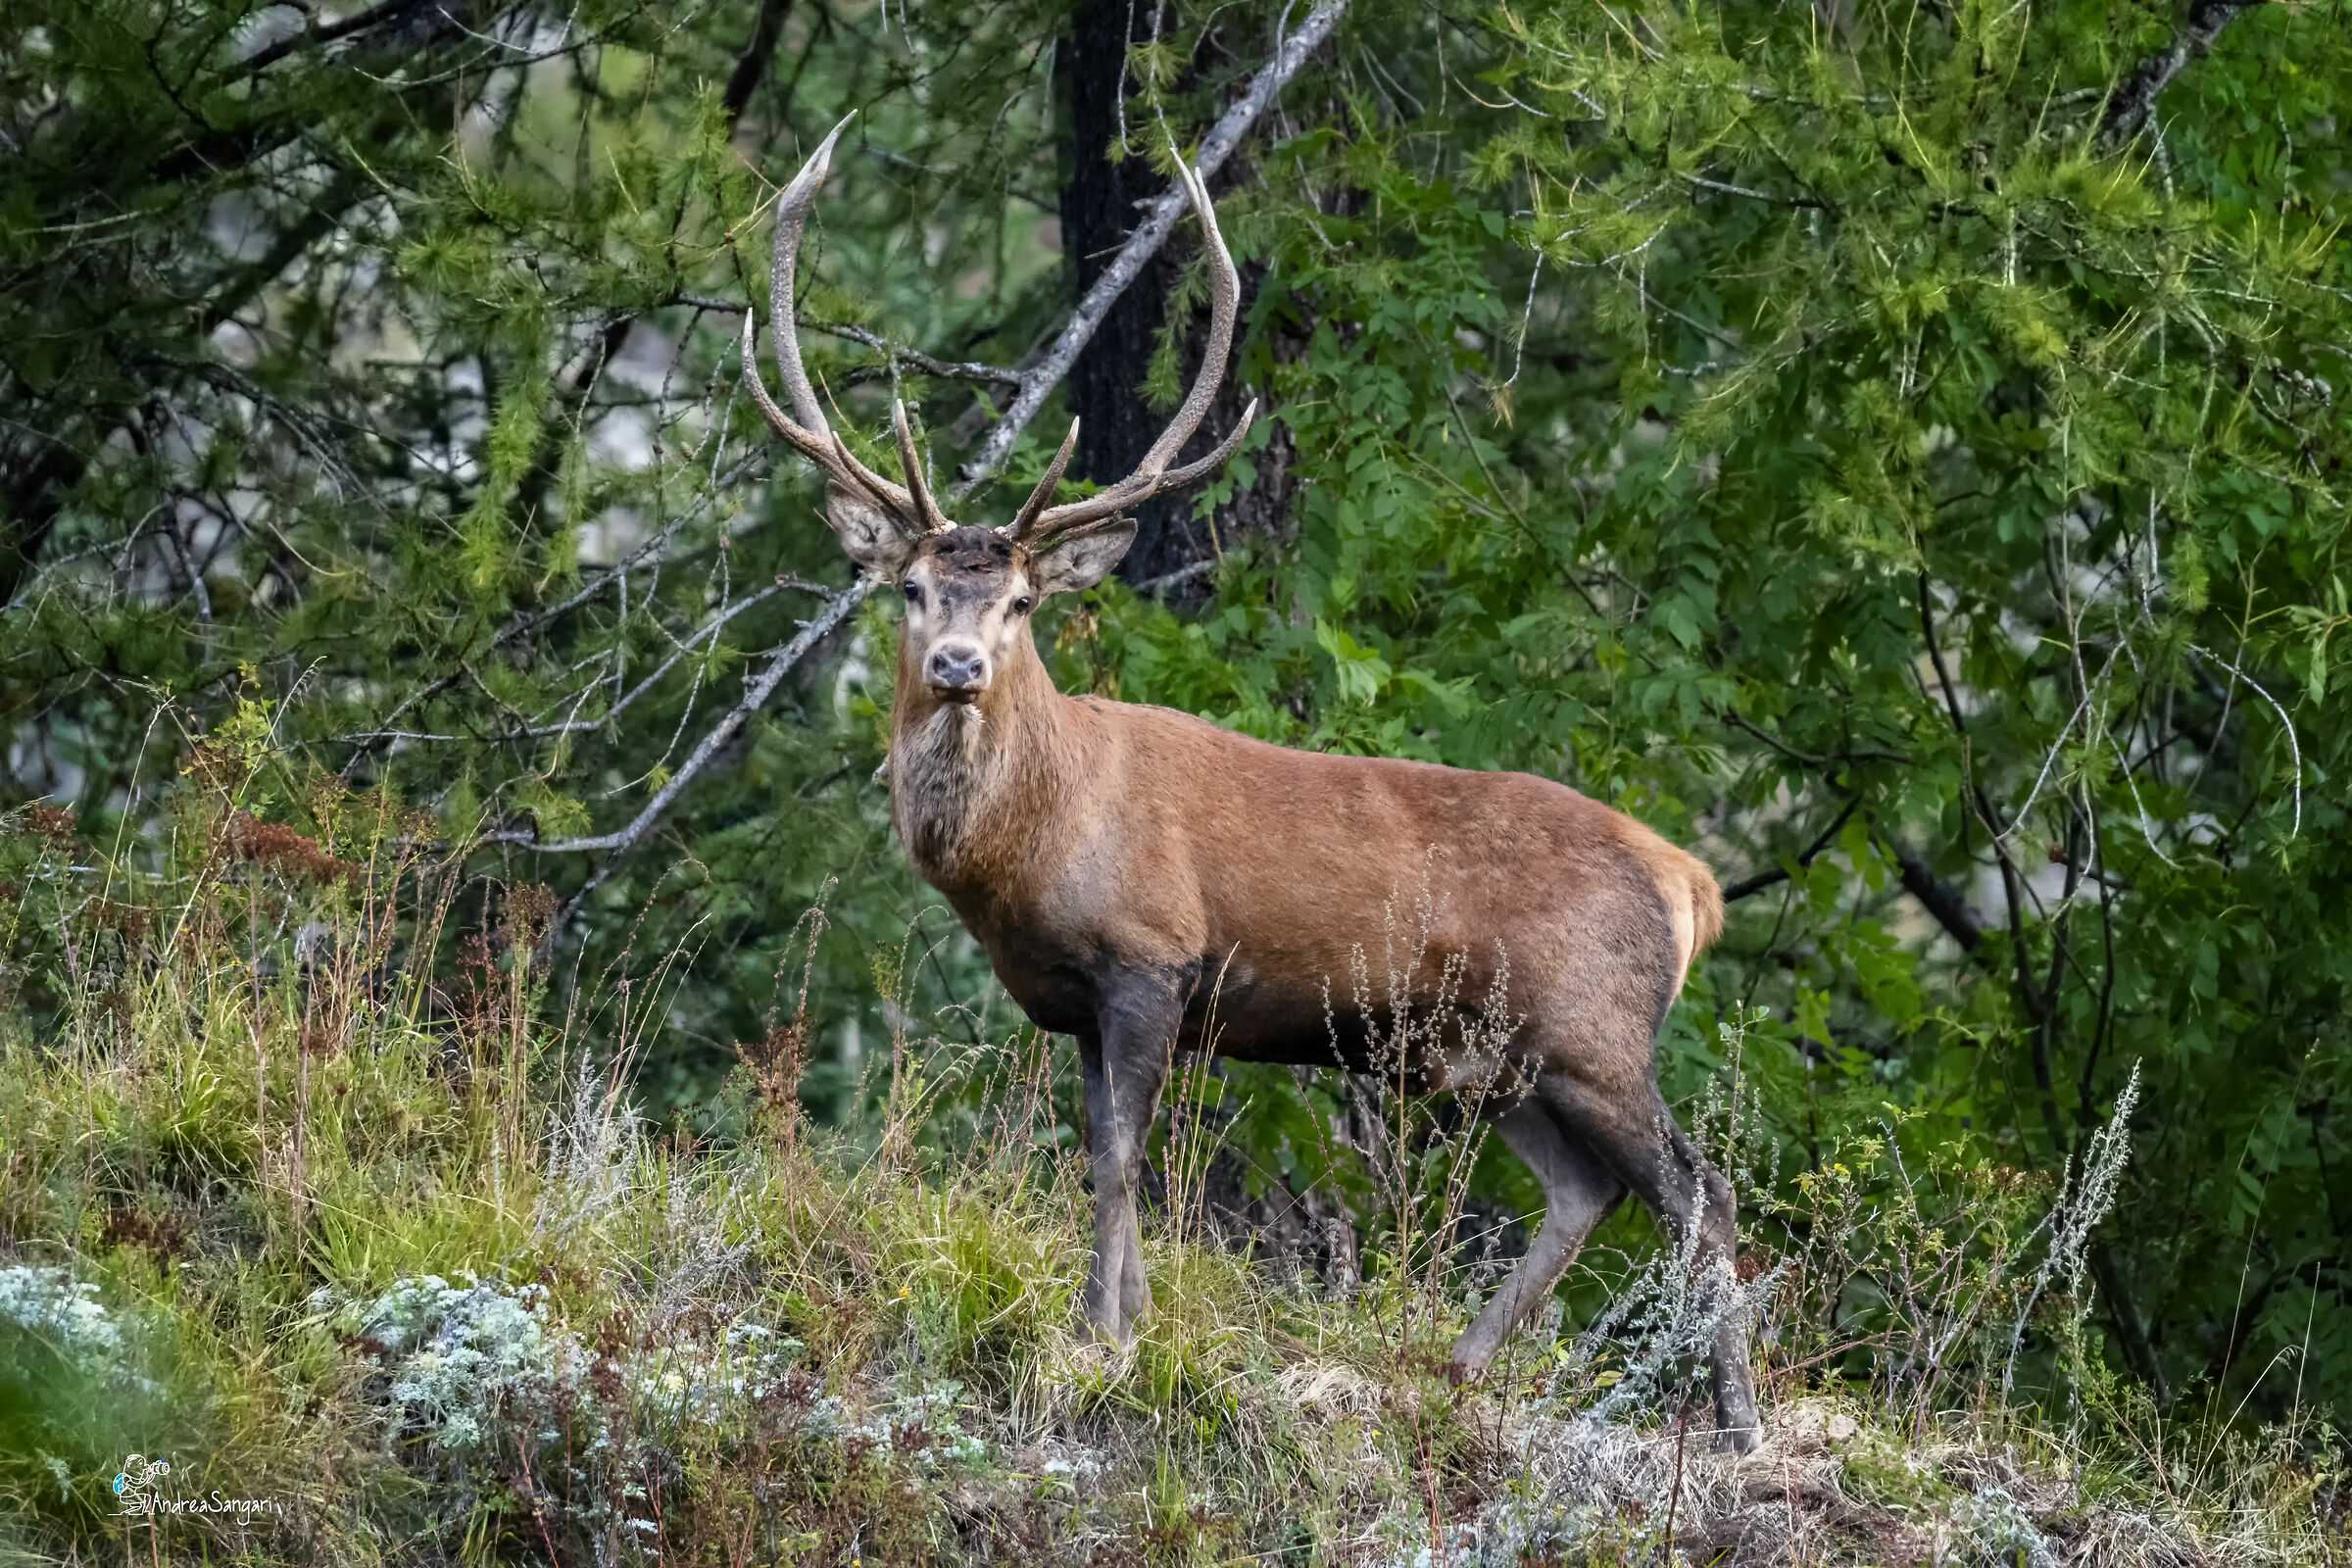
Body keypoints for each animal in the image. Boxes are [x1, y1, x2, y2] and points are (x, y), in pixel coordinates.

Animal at [741, 120, 1764, 1452]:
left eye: (1019, 601)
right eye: (910, 589)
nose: (959, 666)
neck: (1027, 855)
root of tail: (1689, 880)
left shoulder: (1152, 954)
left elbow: (1119, 1161)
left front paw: (1098, 1339)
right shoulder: (1077, 998)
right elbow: (1109, 1154)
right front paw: (1127, 1324)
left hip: (1595, 1026)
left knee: (1701, 1192)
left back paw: (1739, 1427)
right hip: (1501, 1054)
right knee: (1585, 1189)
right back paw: (1456, 1368)